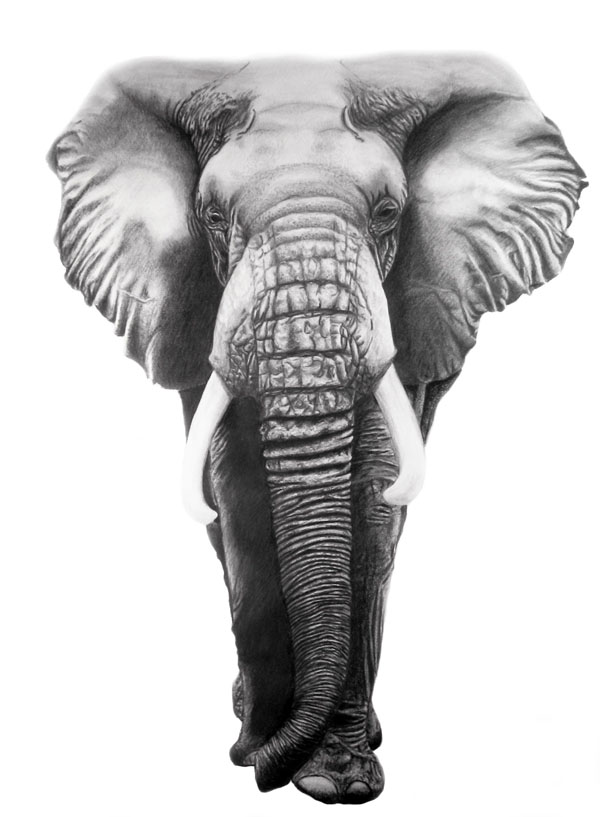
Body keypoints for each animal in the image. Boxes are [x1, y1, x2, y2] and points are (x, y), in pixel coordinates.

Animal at [49, 54, 585, 805]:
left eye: (389, 212)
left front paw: (337, 783)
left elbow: (371, 505)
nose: (255, 759)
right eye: (212, 216)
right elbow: (241, 499)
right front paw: (259, 752)